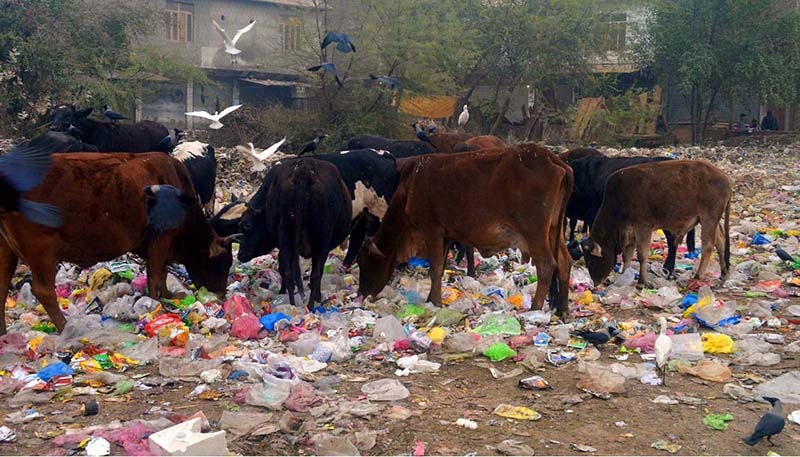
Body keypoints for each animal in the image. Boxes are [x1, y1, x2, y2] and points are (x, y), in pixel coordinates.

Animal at [0, 151, 234, 334]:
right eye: (222, 264)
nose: (222, 296)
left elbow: (163, 272)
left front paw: (168, 295)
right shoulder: (161, 238)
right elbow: (156, 274)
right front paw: (157, 303)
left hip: (7, 248)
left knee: (2, 287)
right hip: (41, 248)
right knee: (44, 291)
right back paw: (66, 327)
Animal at [238, 159, 350, 304]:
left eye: (247, 225)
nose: (240, 254)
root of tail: (303, 173)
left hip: (288, 234)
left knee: (291, 273)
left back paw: (294, 303)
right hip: (321, 237)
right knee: (314, 274)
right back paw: (309, 304)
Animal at [358, 144, 576, 316]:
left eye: (365, 262)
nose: (361, 295)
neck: (409, 188)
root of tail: (554, 159)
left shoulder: (431, 230)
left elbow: (435, 268)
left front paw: (435, 302)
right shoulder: (445, 235)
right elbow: (440, 267)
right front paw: (431, 298)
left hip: (534, 232)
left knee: (546, 264)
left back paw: (535, 310)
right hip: (554, 229)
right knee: (564, 262)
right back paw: (563, 309)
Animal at [580, 160, 728, 286]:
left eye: (591, 262)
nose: (595, 283)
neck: (618, 201)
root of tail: (724, 177)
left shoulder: (643, 228)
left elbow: (642, 255)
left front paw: (642, 281)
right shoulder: (630, 233)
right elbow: (627, 257)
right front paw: (624, 275)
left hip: (709, 218)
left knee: (708, 246)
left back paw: (698, 276)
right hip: (711, 220)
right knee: (720, 241)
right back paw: (723, 273)